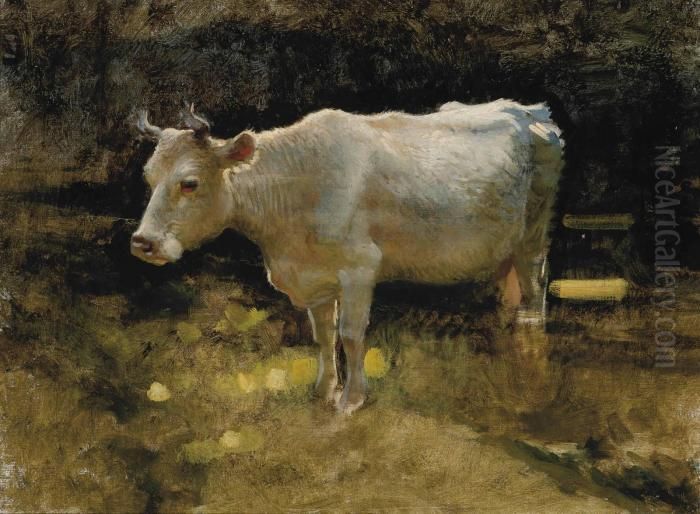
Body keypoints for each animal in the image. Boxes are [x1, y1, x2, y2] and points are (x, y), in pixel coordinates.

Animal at [131, 100, 565, 414]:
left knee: (534, 291)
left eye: (190, 183)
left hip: (534, 232)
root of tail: (530, 111)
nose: (143, 242)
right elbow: (324, 335)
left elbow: (352, 335)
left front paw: (352, 399)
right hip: (504, 245)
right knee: (511, 292)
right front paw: (323, 390)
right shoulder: (316, 278)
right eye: (148, 178)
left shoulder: (360, 268)